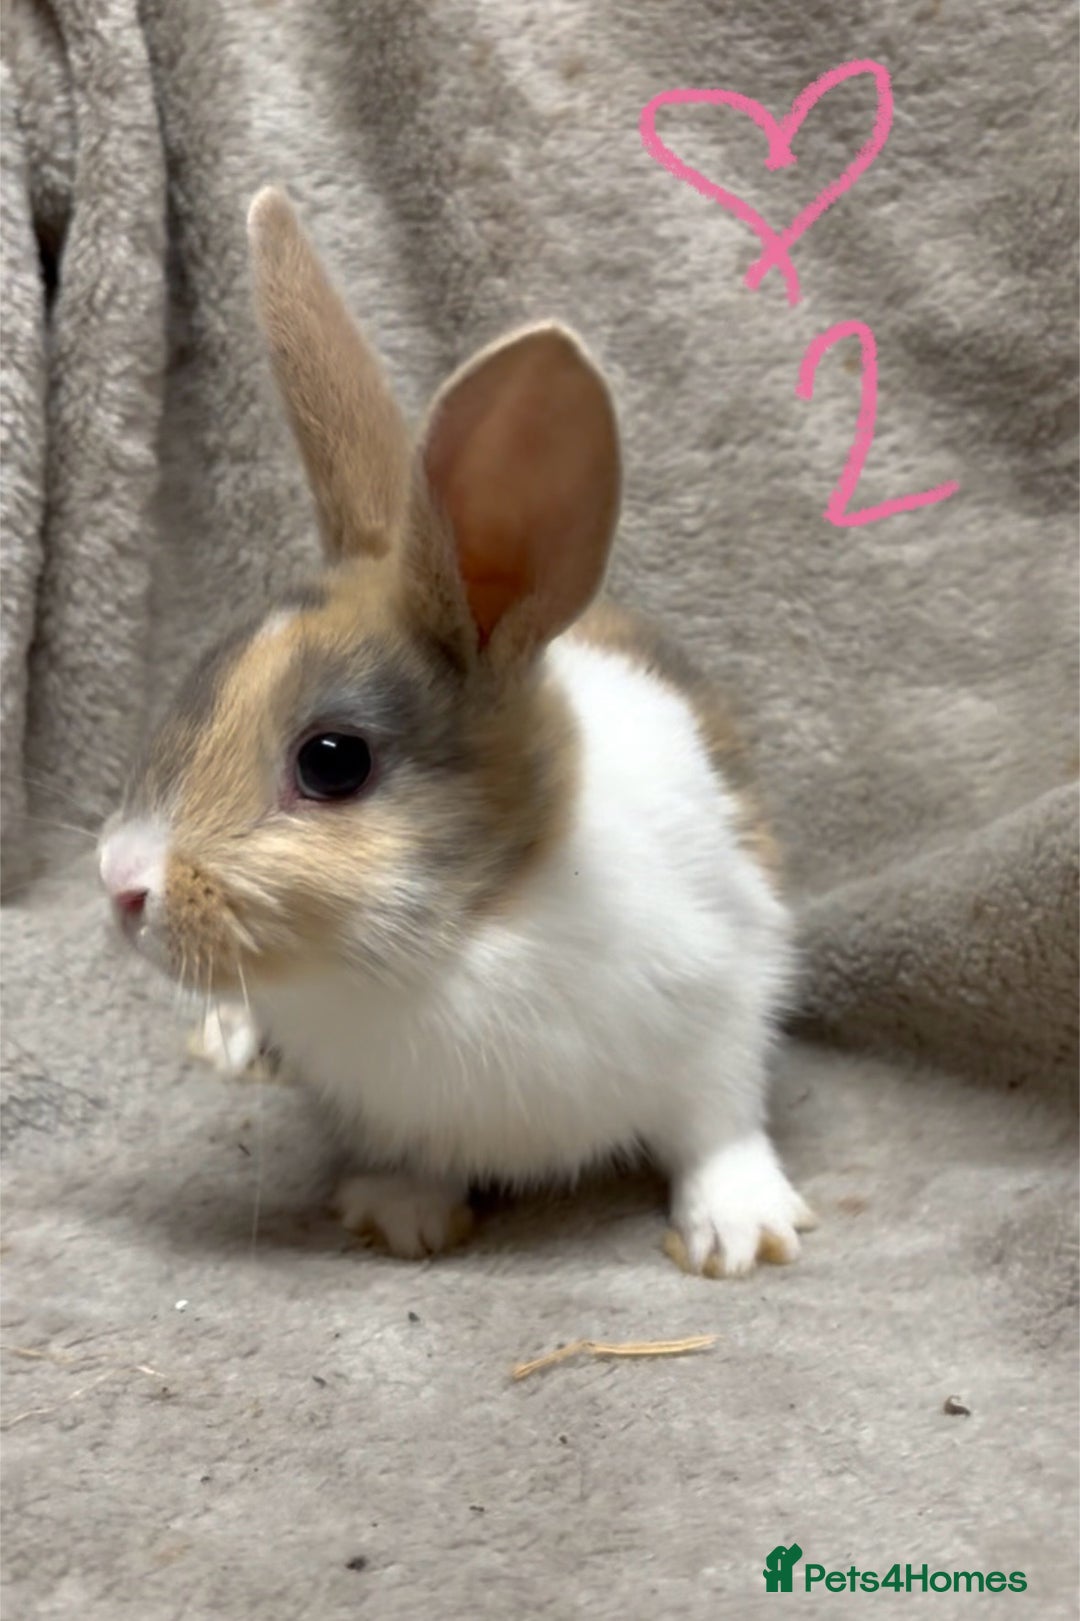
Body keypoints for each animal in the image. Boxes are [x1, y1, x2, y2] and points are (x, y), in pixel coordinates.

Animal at [98, 187, 815, 1277]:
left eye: (333, 761)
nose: (120, 883)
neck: (467, 930)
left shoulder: (726, 1004)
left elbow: (718, 1123)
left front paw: (741, 1236)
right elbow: (410, 1153)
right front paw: (400, 1212)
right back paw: (230, 1040)